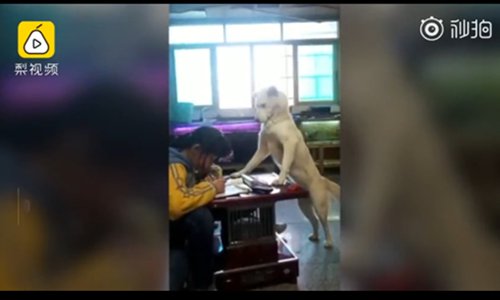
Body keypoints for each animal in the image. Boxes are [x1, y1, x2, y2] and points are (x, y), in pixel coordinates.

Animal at [232, 85, 342, 247]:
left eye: (263, 105)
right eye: (256, 106)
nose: (255, 119)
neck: (275, 121)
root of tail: (322, 179)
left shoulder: (289, 143)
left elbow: (285, 163)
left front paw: (280, 179)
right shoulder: (263, 148)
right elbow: (251, 162)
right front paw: (240, 173)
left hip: (319, 205)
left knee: (325, 224)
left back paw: (328, 242)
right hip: (304, 205)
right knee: (315, 221)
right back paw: (315, 236)